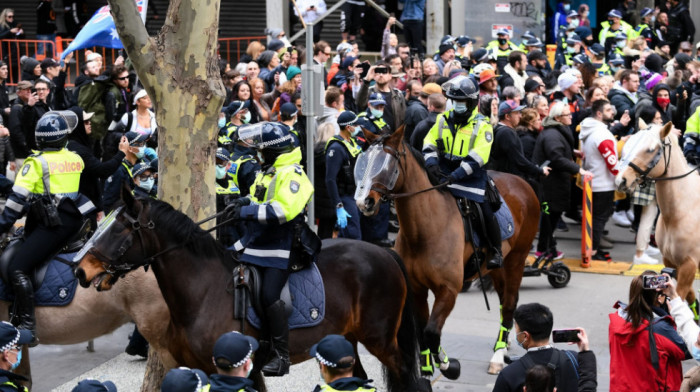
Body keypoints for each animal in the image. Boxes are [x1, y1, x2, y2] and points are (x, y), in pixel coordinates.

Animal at [74, 193, 430, 392]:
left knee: (409, 379)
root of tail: (385, 253)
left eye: (120, 228)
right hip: (348, 340)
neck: (202, 293)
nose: (81, 270)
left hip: (381, 340)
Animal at [356, 127, 540, 376]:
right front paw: (426, 365)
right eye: (363, 161)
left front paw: (447, 363)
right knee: (505, 303)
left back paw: (498, 355)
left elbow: (432, 331)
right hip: (498, 268)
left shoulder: (449, 290)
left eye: (386, 165)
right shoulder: (417, 289)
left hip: (517, 260)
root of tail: (522, 182)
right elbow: (423, 330)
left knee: (510, 303)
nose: (363, 201)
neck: (424, 231)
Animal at [616, 122, 700, 306]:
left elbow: (679, 297)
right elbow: (689, 295)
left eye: (650, 150)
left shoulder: (690, 263)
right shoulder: (671, 261)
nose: (621, 180)